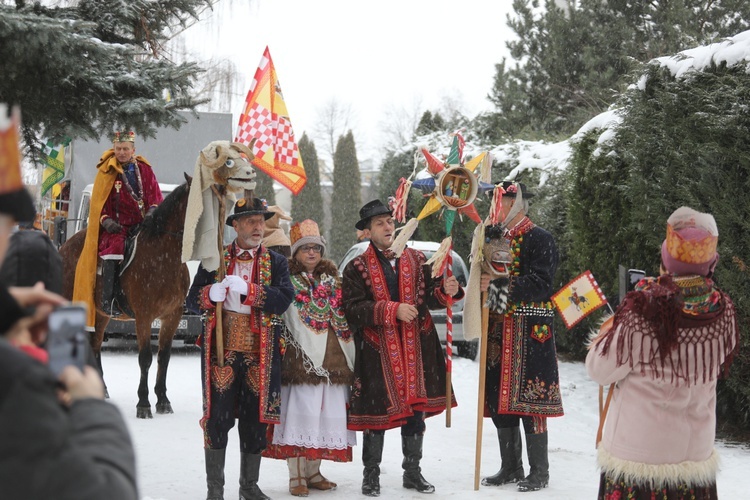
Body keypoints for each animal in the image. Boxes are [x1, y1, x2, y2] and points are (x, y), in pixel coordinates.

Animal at [59, 143, 258, 420]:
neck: (163, 255)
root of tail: (66, 245)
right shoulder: (144, 316)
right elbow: (145, 357)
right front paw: (143, 403)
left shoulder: (172, 315)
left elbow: (164, 356)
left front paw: (162, 399)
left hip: (100, 312)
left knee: (95, 344)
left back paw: (102, 388)